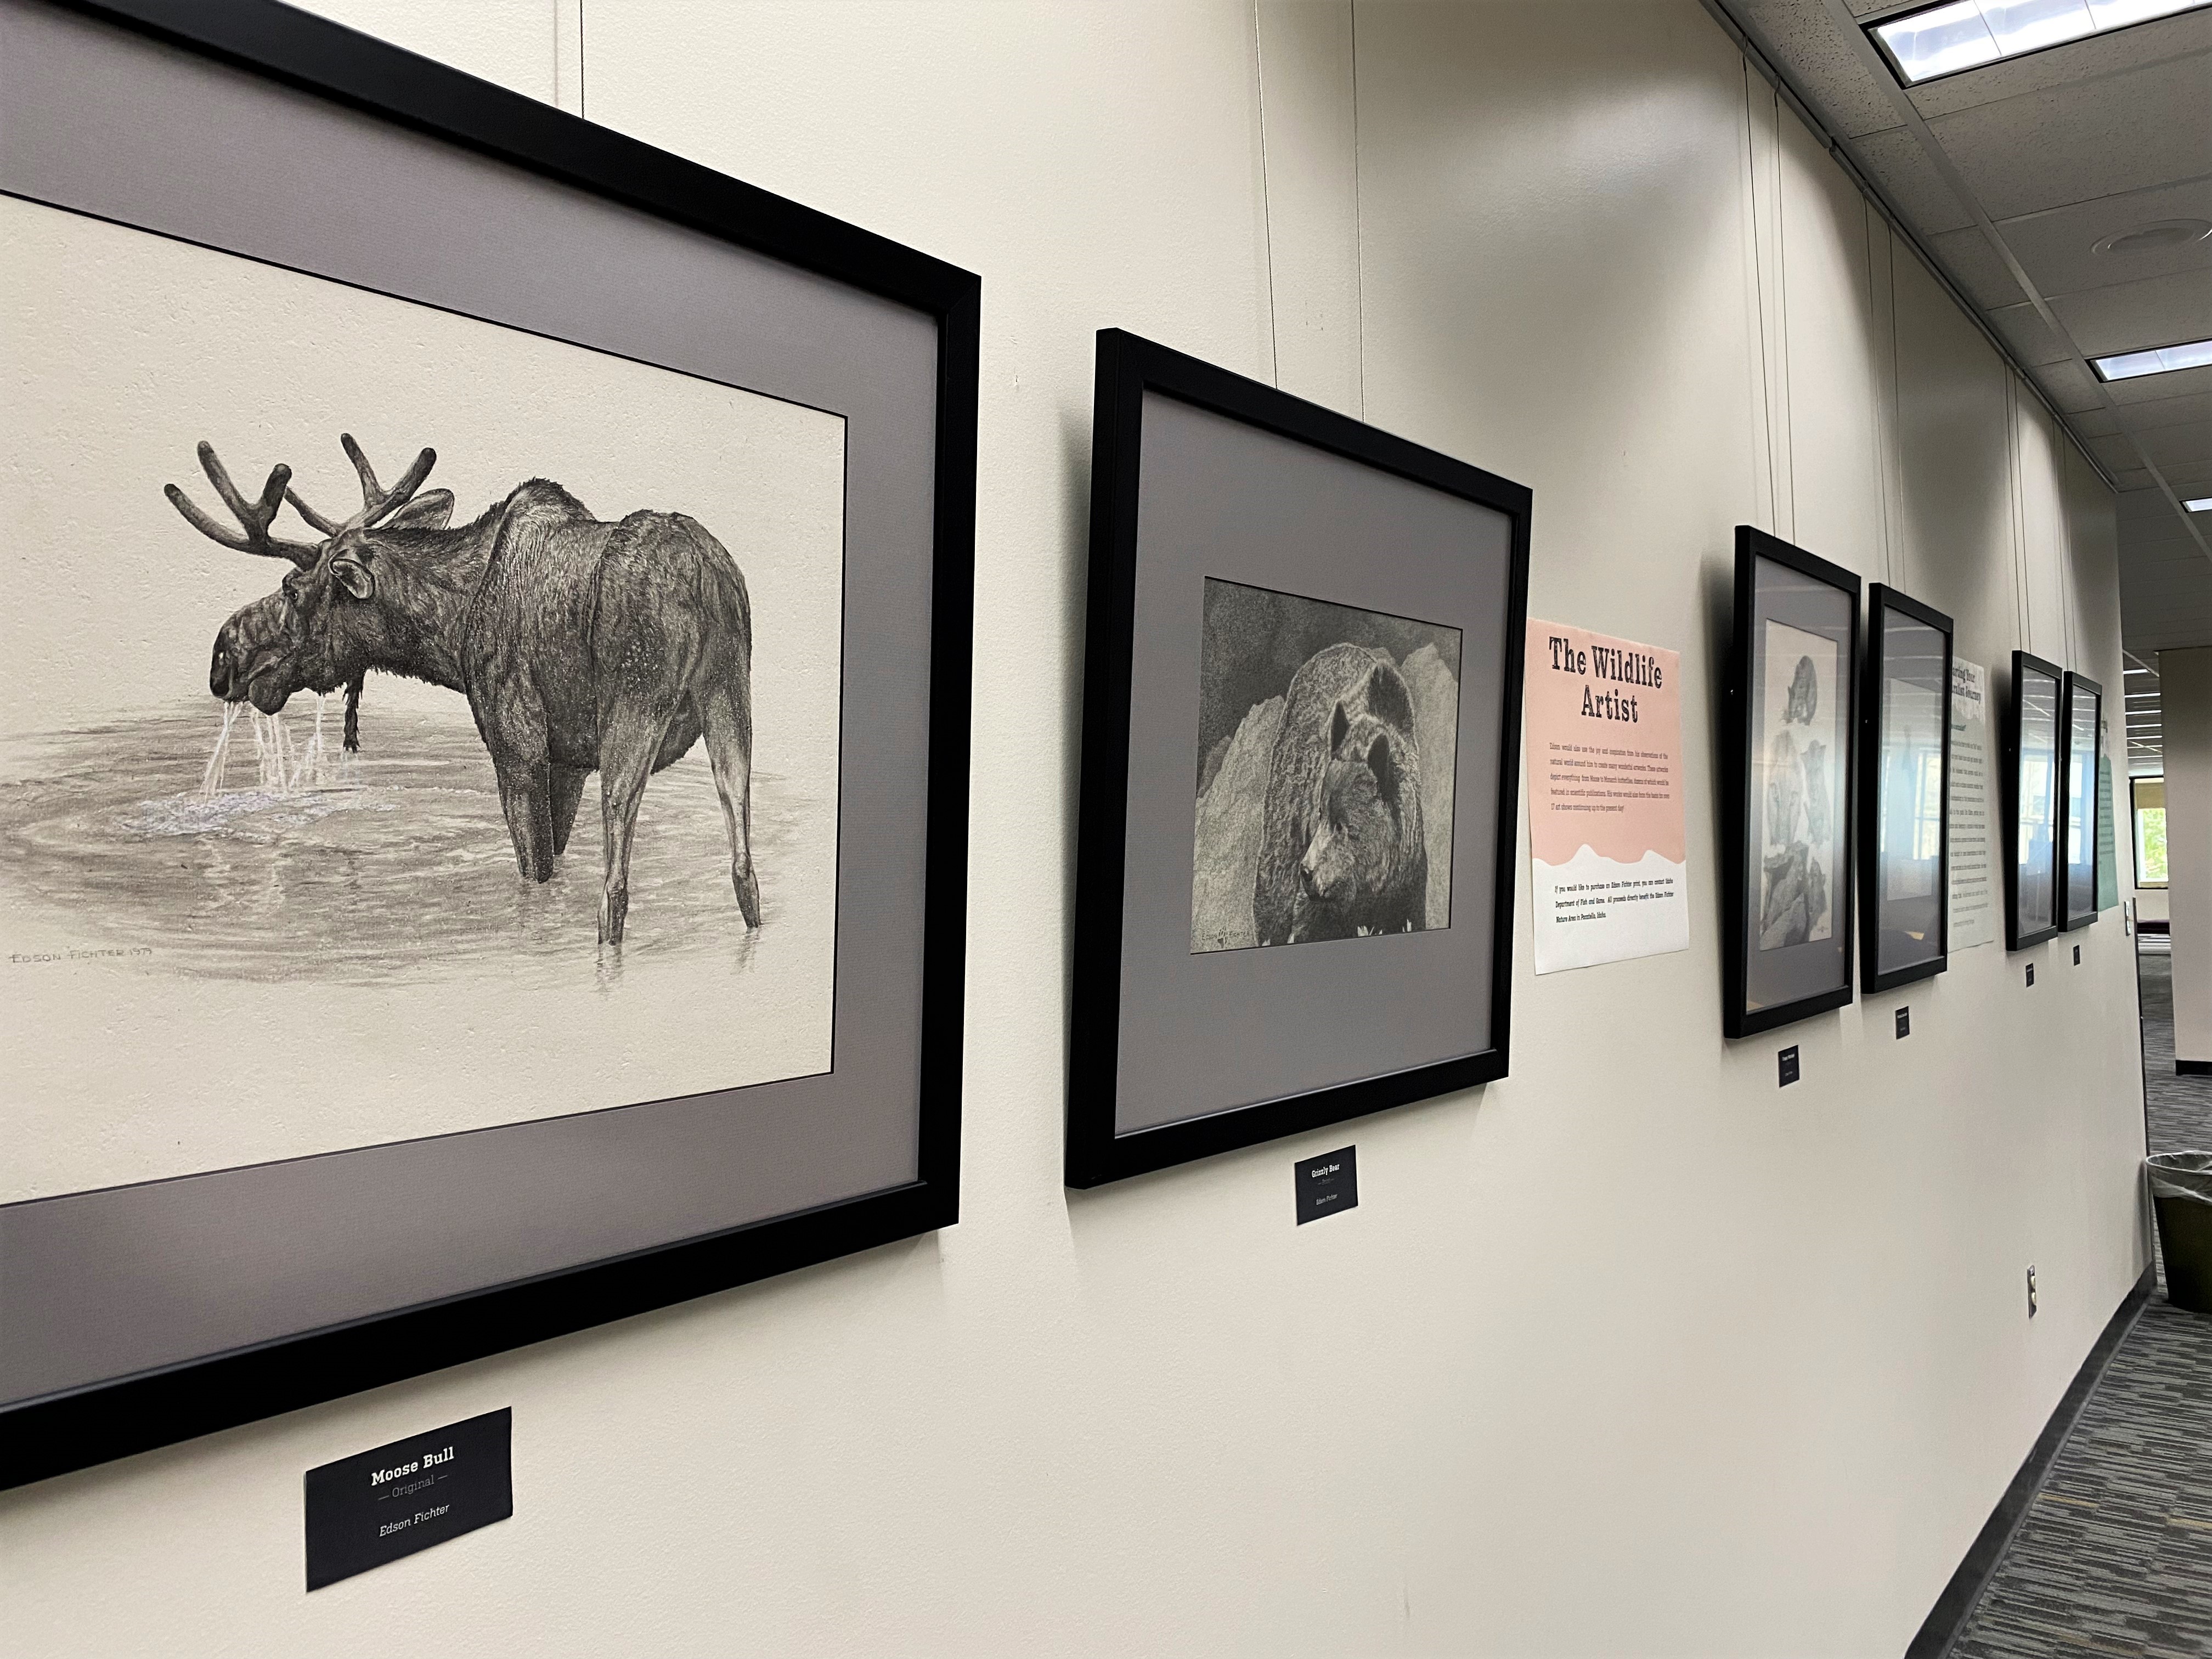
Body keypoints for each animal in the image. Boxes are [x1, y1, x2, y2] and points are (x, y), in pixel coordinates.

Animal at [168, 434, 763, 946]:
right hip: (732, 705)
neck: (448, 637)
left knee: (616, 887)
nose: (223, 657)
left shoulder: (519, 746)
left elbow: (533, 872)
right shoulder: (568, 760)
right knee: (744, 870)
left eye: (292, 589)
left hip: (634, 713)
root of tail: (707, 578)